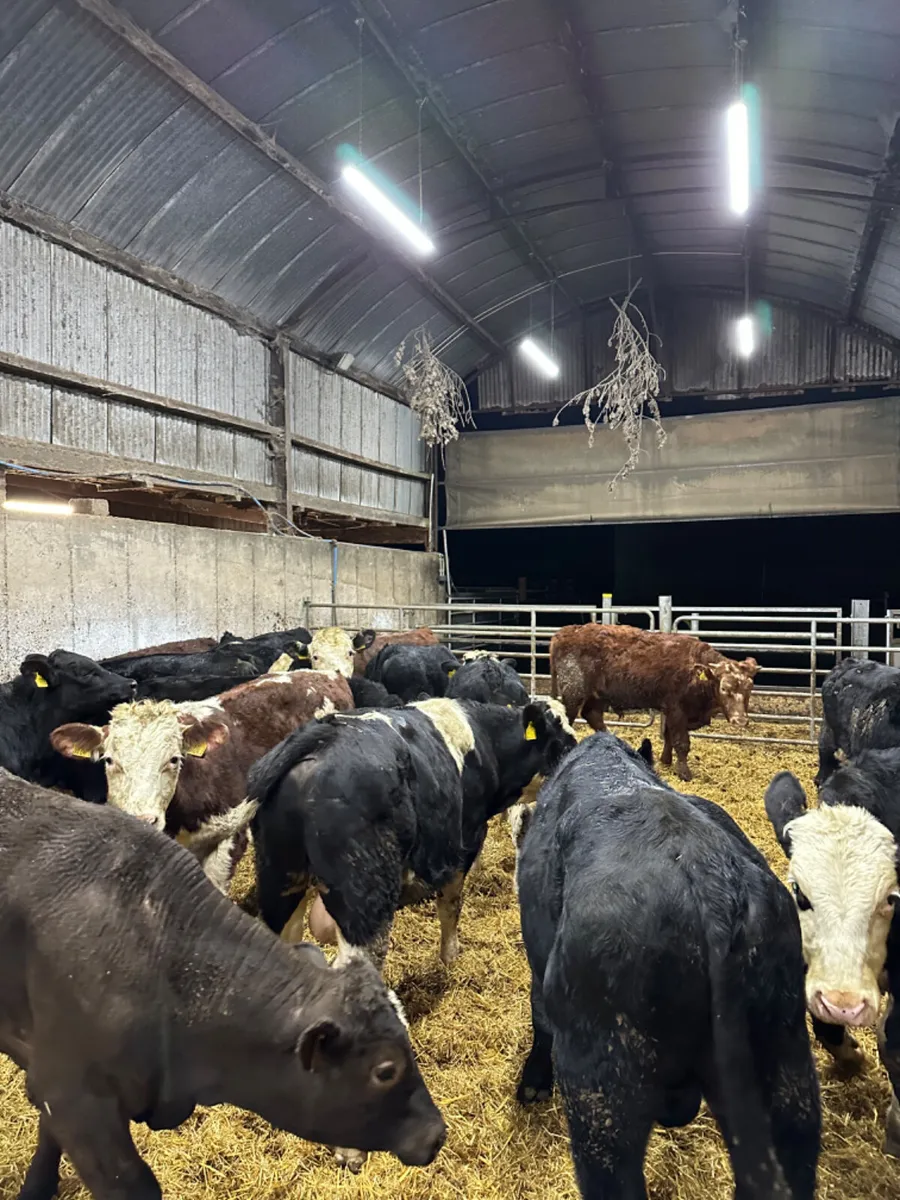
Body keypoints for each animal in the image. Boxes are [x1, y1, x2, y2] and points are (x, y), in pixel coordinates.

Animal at [550, 623, 759, 781]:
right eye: (724, 688)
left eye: (749, 688)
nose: (740, 720)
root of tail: (564, 633)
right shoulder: (677, 710)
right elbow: (681, 742)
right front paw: (684, 772)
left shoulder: (670, 710)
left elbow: (668, 735)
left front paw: (666, 760)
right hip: (574, 692)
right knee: (569, 719)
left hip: (598, 695)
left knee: (593, 715)